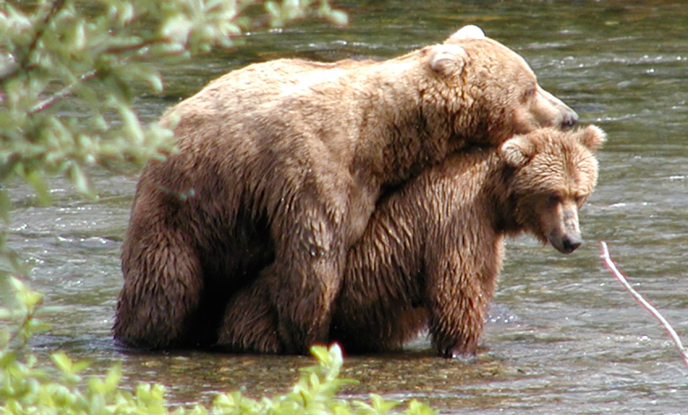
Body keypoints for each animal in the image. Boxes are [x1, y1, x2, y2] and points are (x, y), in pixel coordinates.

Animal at [218, 126, 604, 358]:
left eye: (580, 194)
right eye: (552, 195)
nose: (572, 239)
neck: (493, 200)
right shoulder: (457, 219)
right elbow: (457, 292)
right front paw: (463, 349)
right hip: (264, 311)